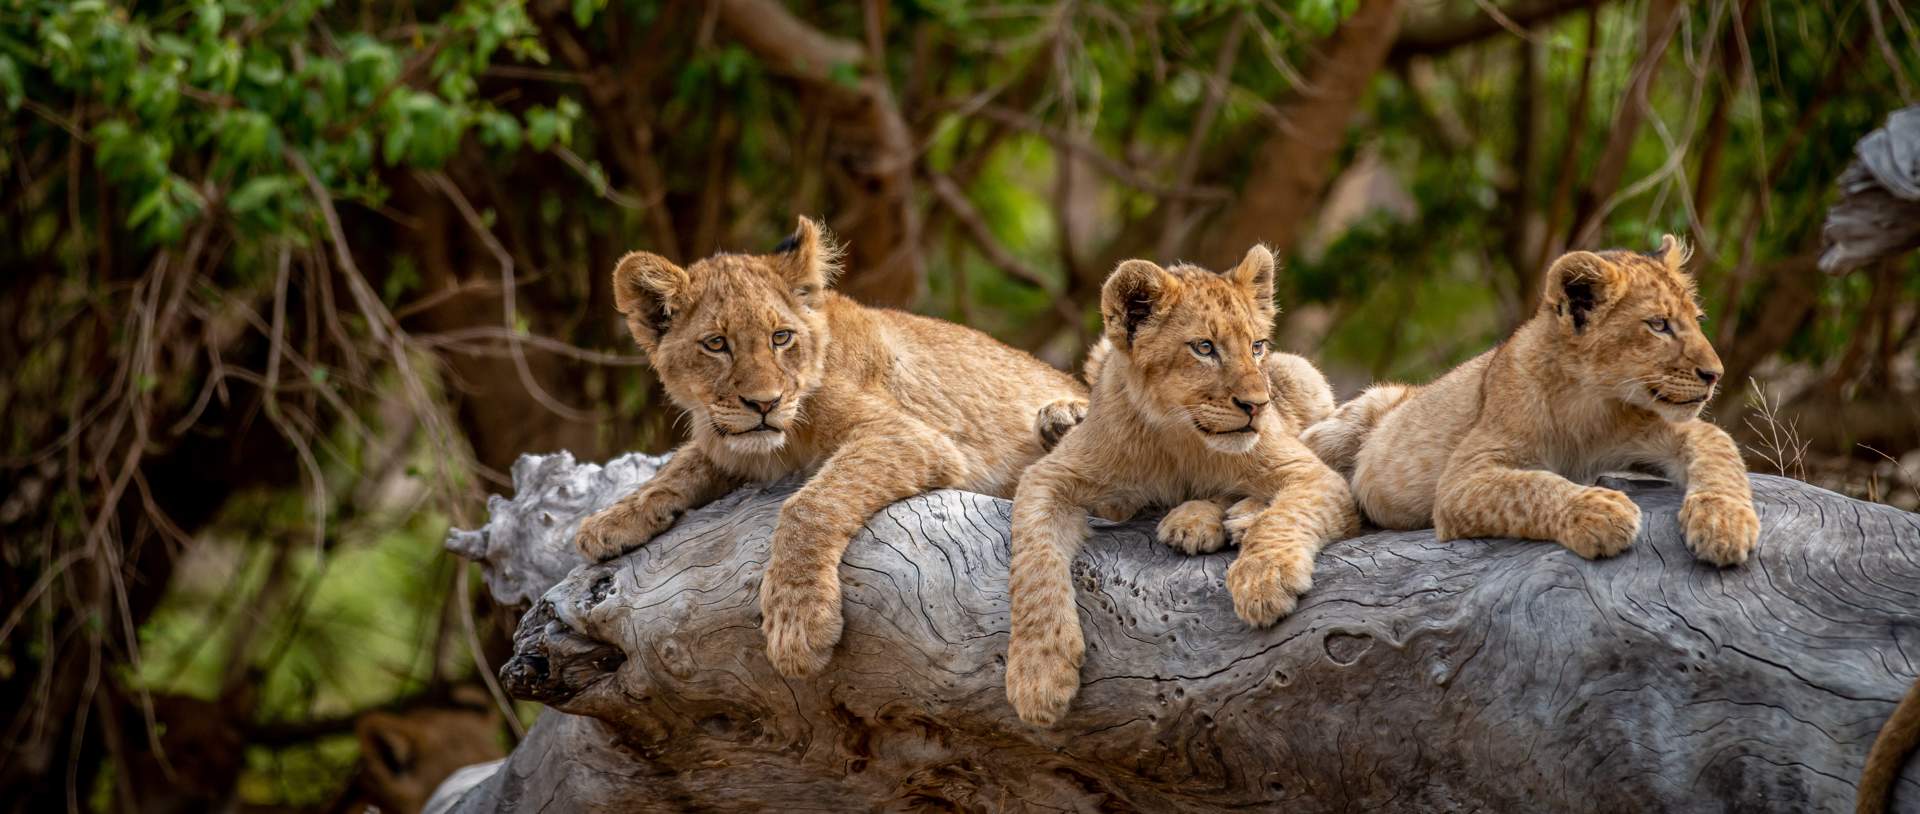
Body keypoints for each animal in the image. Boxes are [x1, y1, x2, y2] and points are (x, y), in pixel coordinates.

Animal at [575, 216, 1087, 677]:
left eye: (781, 337)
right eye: (716, 344)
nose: (764, 403)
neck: (783, 443)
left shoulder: (910, 436)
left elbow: (809, 506)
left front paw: (798, 623)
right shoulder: (731, 442)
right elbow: (680, 467)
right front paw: (610, 521)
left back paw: (1064, 418)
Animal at [1004, 246, 1358, 726]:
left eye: (1257, 346)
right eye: (1204, 348)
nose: (1258, 405)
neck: (1176, 436)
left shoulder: (1314, 473)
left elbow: (1288, 514)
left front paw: (1264, 578)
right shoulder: (1050, 477)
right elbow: (1033, 563)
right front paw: (1038, 673)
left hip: (1302, 375)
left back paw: (1218, 520)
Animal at [1301, 235, 1760, 565]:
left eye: (1697, 320)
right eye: (1659, 325)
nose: (1715, 374)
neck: (1590, 403)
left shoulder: (1659, 430)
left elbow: (1719, 447)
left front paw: (1725, 520)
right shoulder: (1461, 481)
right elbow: (1531, 486)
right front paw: (1599, 510)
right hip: (1347, 423)